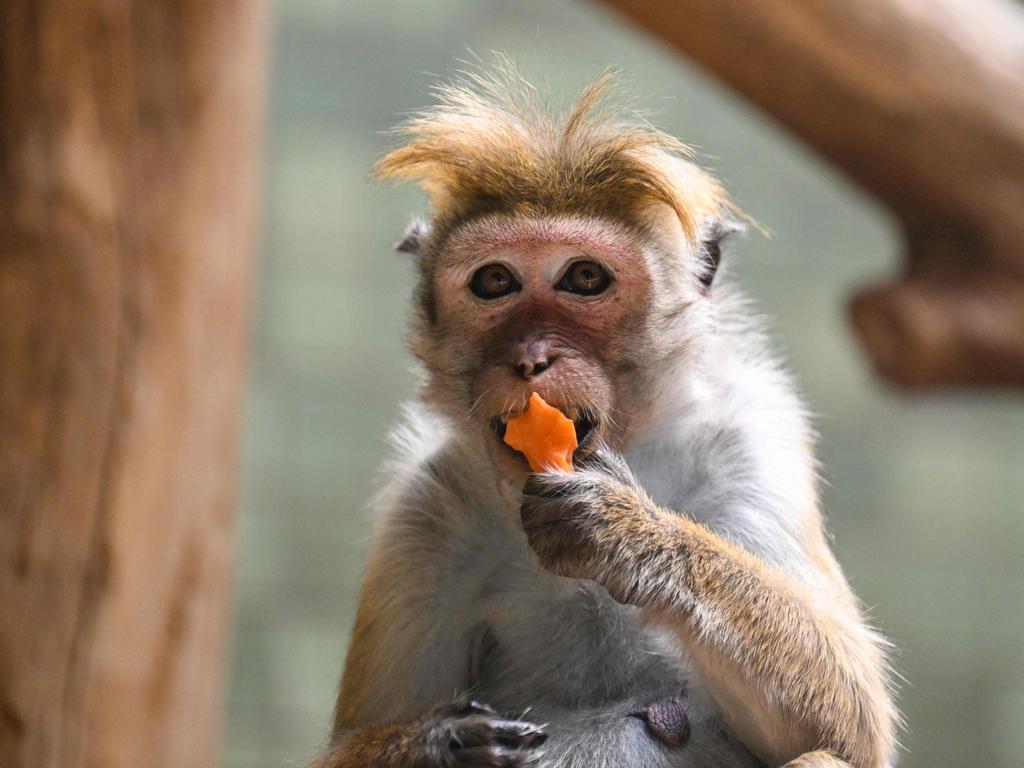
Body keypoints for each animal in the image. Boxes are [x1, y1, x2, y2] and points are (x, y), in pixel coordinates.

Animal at [315, 64, 901, 768]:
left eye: (585, 278)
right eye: (494, 282)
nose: (531, 358)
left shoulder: (752, 440)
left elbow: (853, 723)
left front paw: (627, 534)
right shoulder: (423, 509)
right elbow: (346, 745)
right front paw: (447, 743)